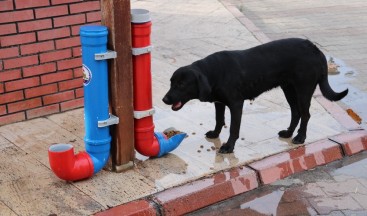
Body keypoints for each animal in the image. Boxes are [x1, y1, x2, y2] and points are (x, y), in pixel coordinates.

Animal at [162, 38, 350, 154]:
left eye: (181, 84)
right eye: (171, 82)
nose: (164, 99)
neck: (214, 72)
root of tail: (314, 48)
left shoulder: (236, 104)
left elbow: (233, 128)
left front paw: (229, 147)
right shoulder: (219, 103)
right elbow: (219, 120)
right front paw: (215, 134)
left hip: (303, 89)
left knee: (305, 114)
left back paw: (300, 137)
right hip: (289, 89)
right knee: (295, 112)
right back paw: (288, 133)